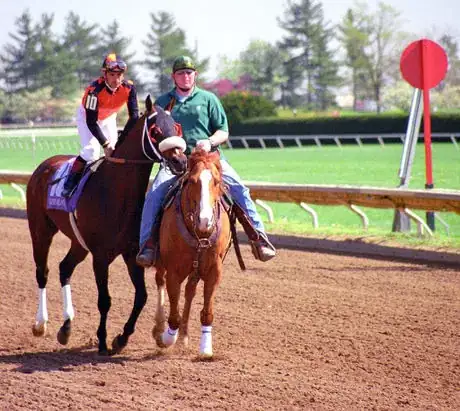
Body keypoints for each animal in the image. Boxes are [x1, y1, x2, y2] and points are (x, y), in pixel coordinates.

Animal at [26, 98, 187, 356]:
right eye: (155, 131)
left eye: (177, 128)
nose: (181, 161)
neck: (115, 192)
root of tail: (46, 164)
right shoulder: (100, 256)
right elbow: (105, 300)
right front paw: (102, 341)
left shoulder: (131, 253)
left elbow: (141, 296)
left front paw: (121, 338)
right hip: (40, 230)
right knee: (43, 272)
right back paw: (41, 324)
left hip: (79, 243)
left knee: (64, 268)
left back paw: (66, 327)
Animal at [152, 150, 230, 358]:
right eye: (192, 181)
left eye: (216, 181)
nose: (205, 220)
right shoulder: (173, 271)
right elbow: (174, 314)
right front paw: (167, 338)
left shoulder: (214, 271)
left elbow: (207, 312)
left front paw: (205, 349)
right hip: (161, 263)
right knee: (160, 282)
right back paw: (160, 329)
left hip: (196, 271)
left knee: (189, 292)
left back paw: (184, 336)